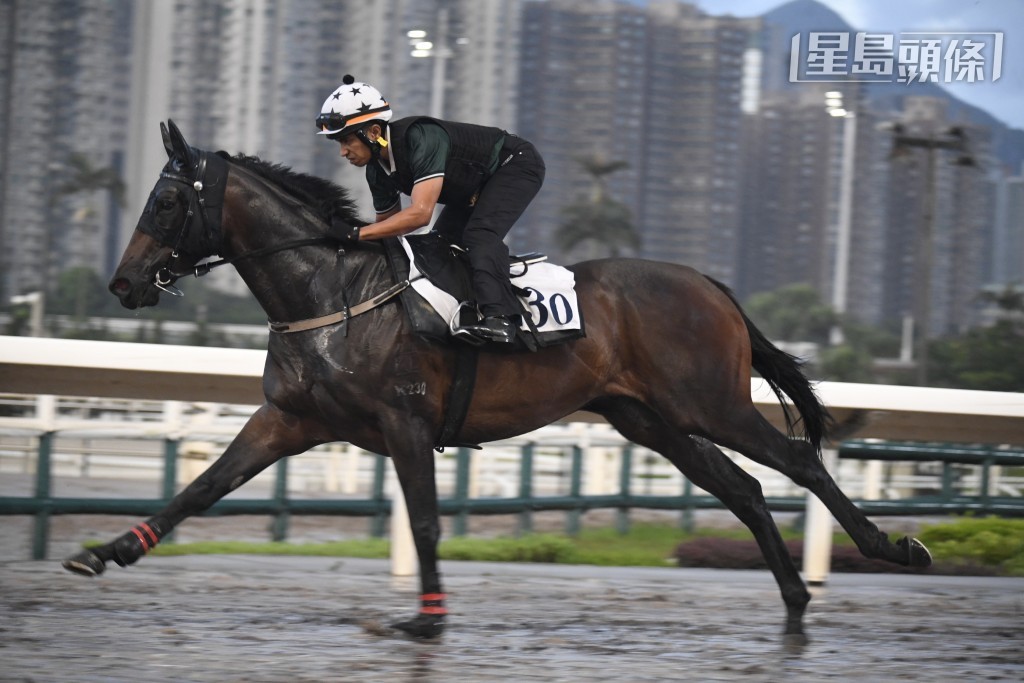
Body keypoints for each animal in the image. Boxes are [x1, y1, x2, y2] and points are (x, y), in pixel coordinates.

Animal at [63, 120, 932, 644]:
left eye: (166, 199)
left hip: (709, 401)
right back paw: (795, 601)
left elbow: (423, 522)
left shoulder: (405, 422)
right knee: (747, 490)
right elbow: (199, 488)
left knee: (801, 462)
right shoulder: (287, 419)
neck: (329, 291)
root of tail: (711, 285)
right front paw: (107, 550)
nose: (123, 283)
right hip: (651, 418)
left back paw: (892, 546)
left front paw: (427, 618)